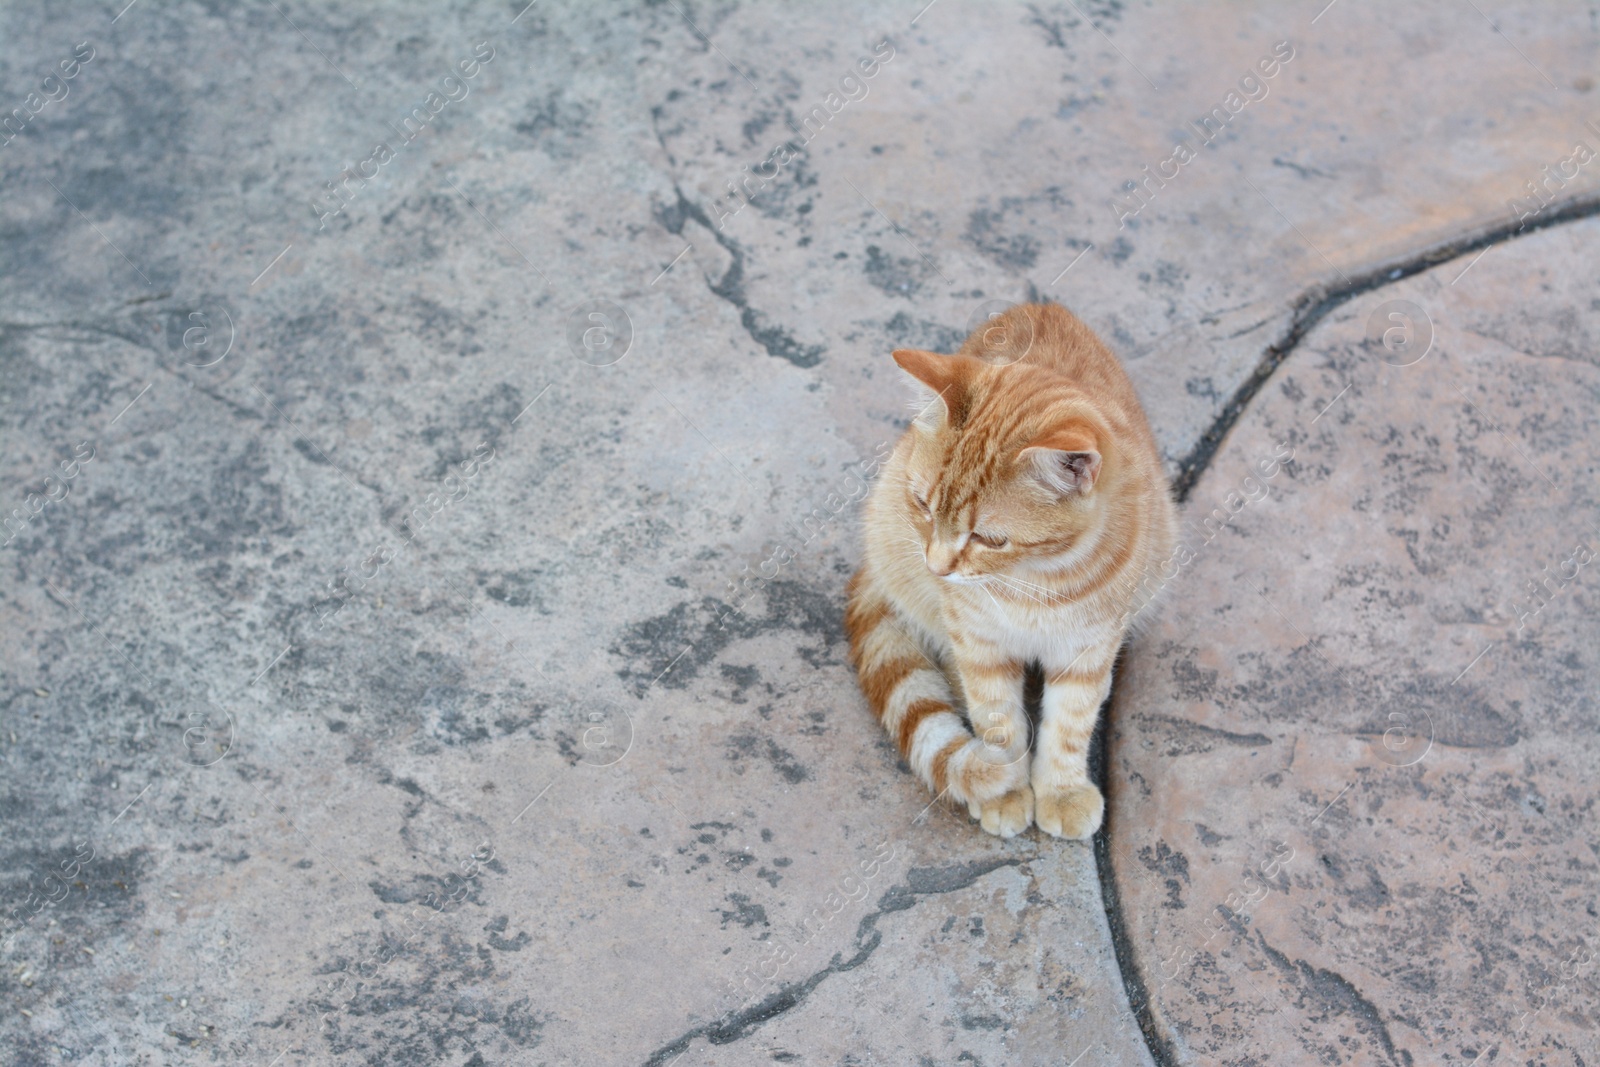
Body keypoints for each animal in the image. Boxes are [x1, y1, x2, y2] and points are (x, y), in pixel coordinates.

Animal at [851, 303, 1177, 838]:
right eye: (922, 505)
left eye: (989, 539)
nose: (936, 566)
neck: (1034, 579)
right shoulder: (977, 643)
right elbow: (996, 718)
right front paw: (1003, 786)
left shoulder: (1089, 647)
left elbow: (1070, 723)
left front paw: (1061, 791)